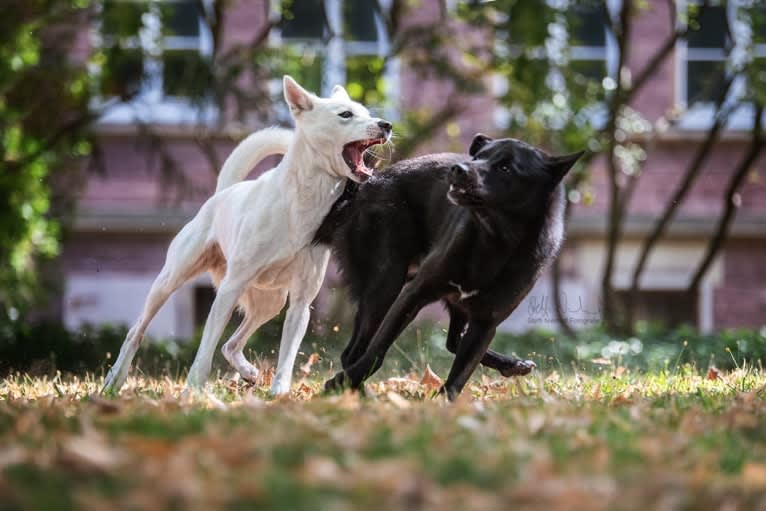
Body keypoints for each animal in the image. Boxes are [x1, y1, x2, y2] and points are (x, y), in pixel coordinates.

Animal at [102, 76, 392, 396]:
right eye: (346, 114)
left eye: (366, 112)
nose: (387, 125)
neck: (304, 202)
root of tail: (222, 193)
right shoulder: (229, 290)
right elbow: (205, 351)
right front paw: (193, 390)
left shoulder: (301, 303)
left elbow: (287, 355)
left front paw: (279, 392)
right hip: (170, 280)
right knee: (137, 331)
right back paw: (114, 380)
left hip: (271, 302)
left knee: (231, 344)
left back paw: (249, 373)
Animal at [316, 135, 584, 400]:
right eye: (478, 157)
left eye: (506, 168)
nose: (457, 169)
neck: (495, 241)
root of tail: (367, 184)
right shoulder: (414, 294)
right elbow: (377, 351)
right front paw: (342, 381)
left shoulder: (486, 321)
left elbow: (460, 374)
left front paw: (446, 403)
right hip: (385, 284)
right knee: (354, 351)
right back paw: (357, 391)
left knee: (453, 342)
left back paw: (512, 365)